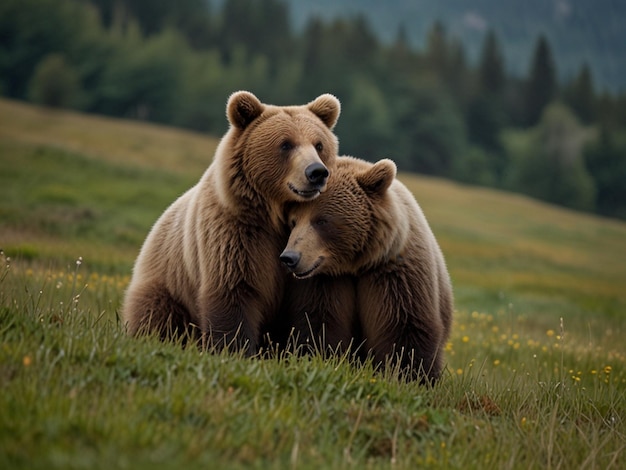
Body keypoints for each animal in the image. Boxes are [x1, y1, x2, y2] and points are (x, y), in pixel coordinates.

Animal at [120, 90, 338, 354]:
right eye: (286, 144)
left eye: (319, 145)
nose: (317, 172)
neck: (275, 214)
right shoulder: (235, 233)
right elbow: (233, 290)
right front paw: (234, 349)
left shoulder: (312, 250)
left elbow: (312, 309)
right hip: (168, 282)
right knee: (157, 313)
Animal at [276, 156, 448, 380]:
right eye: (294, 221)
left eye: (321, 220)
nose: (290, 257)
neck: (355, 264)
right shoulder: (324, 281)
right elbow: (319, 321)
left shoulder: (394, 274)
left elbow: (404, 328)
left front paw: (409, 375)